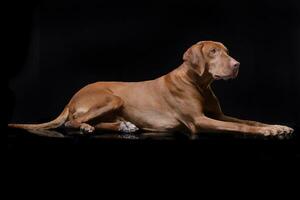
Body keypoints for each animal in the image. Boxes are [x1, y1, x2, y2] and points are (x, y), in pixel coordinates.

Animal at [8, 40, 294, 138]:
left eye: (227, 51)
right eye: (213, 52)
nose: (237, 65)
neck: (199, 84)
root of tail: (71, 97)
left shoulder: (218, 114)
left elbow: (249, 120)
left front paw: (277, 126)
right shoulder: (198, 121)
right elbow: (240, 126)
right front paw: (268, 131)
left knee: (96, 122)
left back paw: (124, 126)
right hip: (111, 98)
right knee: (72, 122)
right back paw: (90, 127)